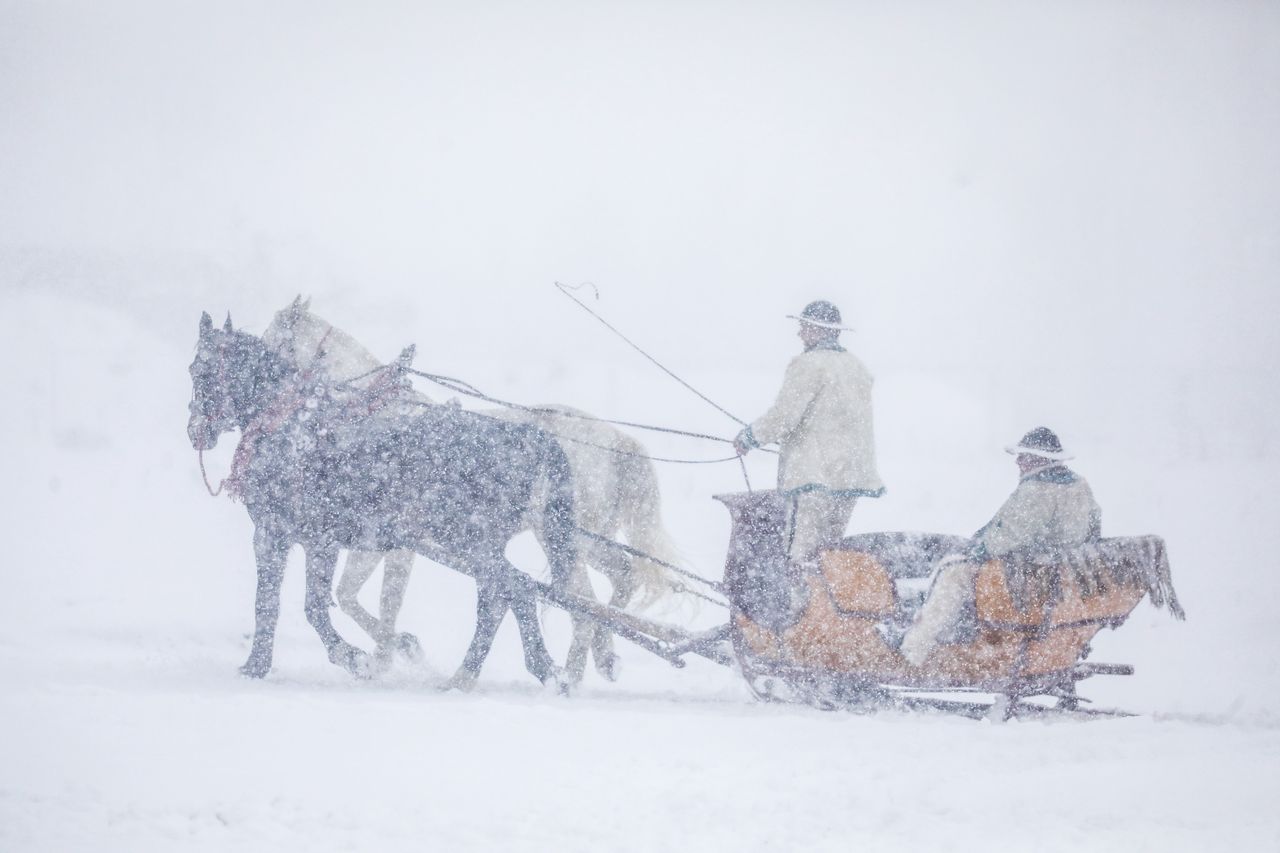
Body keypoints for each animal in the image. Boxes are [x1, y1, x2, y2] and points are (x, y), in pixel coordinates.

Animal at [186, 312, 576, 686]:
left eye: (199, 369)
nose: (194, 432)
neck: (295, 431)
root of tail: (525, 435)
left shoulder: (312, 540)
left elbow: (313, 606)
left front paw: (354, 659)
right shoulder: (277, 536)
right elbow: (267, 603)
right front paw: (256, 666)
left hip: (470, 543)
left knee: (510, 592)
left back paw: (498, 674)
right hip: (479, 546)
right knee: (509, 595)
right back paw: (515, 673)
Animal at [262, 298, 691, 686]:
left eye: (271, 342)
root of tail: (615, 439)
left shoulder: (394, 544)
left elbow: (380, 599)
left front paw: (391, 654)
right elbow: (353, 596)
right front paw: (396, 650)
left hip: (564, 537)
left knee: (583, 599)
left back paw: (571, 670)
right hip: (588, 539)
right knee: (619, 578)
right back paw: (603, 657)